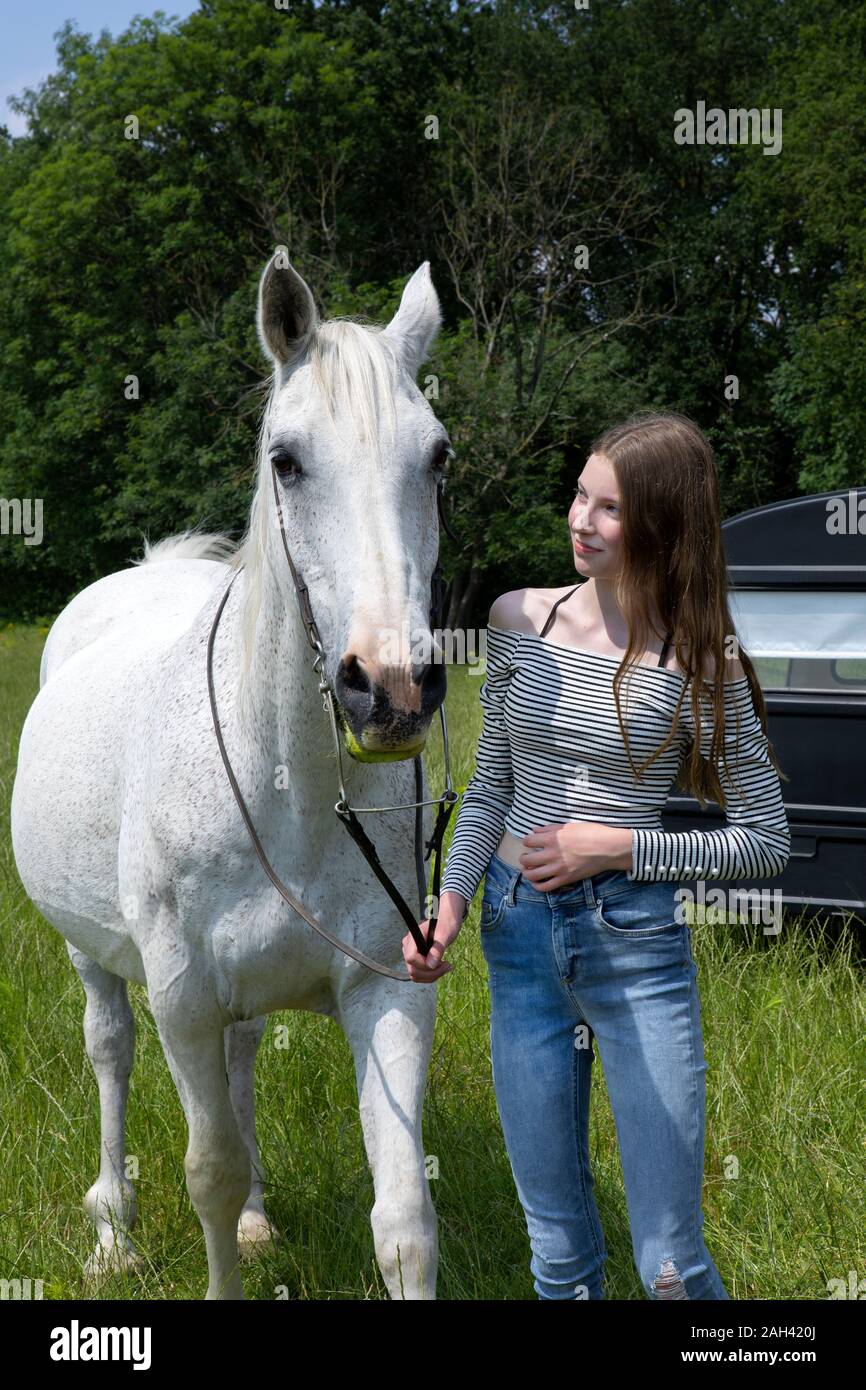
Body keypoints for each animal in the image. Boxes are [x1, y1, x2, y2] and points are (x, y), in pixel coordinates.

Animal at [11, 253, 451, 1299]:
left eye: (438, 457)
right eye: (286, 458)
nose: (391, 689)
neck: (285, 785)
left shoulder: (388, 988)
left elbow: (405, 1221)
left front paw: (260, 1218)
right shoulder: (182, 998)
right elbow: (205, 1170)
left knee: (245, 1057)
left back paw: (255, 1218)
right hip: (96, 962)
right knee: (110, 1052)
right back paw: (114, 1232)